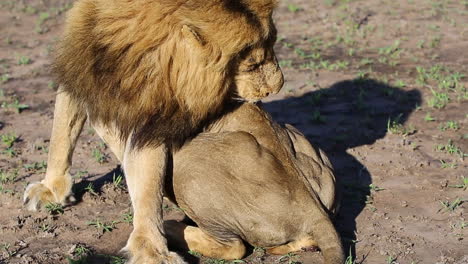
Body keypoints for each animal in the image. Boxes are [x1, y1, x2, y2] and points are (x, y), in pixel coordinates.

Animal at [23, 1, 284, 262]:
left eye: (274, 42)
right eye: (252, 65)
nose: (278, 87)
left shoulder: (154, 109)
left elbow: (147, 184)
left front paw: (151, 247)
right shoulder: (80, 64)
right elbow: (62, 131)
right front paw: (51, 187)